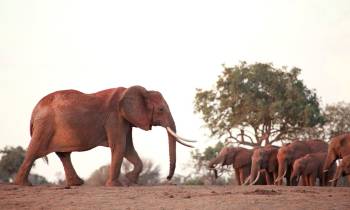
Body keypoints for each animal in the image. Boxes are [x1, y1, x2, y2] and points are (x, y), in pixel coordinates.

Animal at [14, 85, 194, 187]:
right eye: (161, 110)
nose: (168, 178)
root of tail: (34, 110)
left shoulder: (125, 121)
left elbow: (128, 148)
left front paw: (131, 180)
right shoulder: (115, 118)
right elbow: (120, 147)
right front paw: (117, 185)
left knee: (64, 155)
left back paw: (77, 184)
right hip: (44, 127)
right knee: (34, 152)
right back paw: (23, 185)